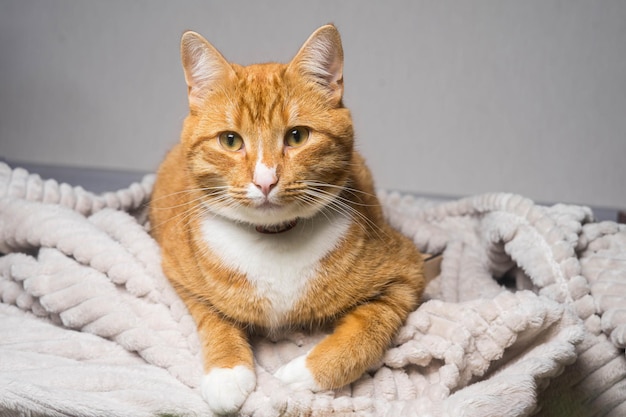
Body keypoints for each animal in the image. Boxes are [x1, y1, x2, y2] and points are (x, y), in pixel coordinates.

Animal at [151, 25, 424, 412]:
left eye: (297, 136)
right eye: (230, 141)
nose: (265, 181)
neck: (275, 239)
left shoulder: (406, 274)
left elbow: (367, 331)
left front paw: (303, 374)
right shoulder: (180, 274)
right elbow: (213, 316)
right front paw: (226, 372)